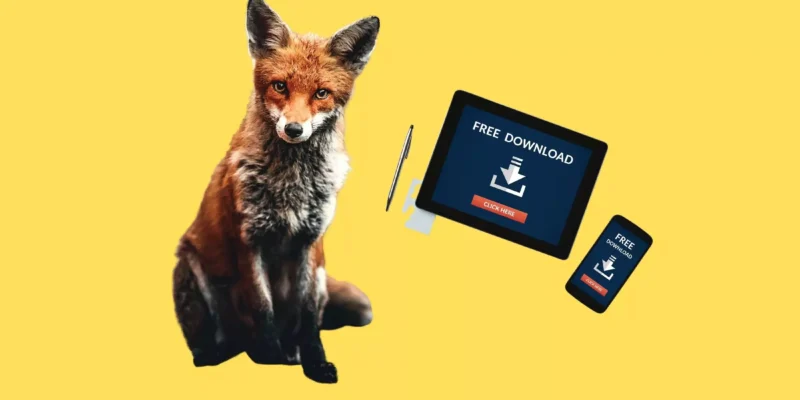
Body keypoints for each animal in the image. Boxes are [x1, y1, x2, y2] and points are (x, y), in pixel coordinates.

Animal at [171, 0, 380, 384]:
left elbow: (309, 317)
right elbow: (261, 306)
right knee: (219, 338)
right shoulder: (248, 240)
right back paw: (219, 353)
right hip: (192, 266)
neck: (291, 185)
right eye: (280, 86)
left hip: (329, 283)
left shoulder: (311, 243)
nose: (294, 129)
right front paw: (269, 358)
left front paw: (313, 361)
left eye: (321, 93)